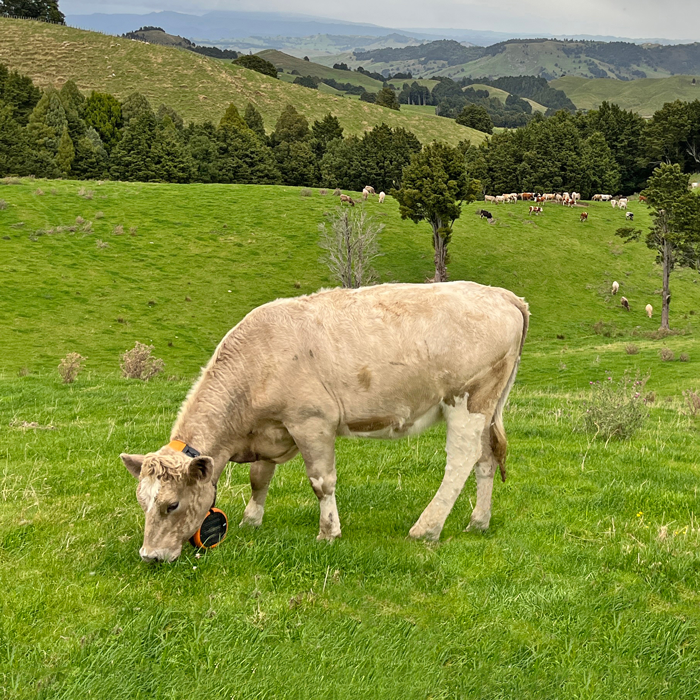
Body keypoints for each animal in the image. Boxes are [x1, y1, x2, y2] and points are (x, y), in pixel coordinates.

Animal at [120, 282, 528, 560]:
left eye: (171, 505)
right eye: (142, 502)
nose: (149, 556)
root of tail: (501, 295)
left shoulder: (311, 422)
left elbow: (321, 482)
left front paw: (328, 532)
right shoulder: (272, 430)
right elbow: (259, 478)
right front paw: (251, 520)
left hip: (467, 399)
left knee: (460, 461)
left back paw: (426, 529)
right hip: (488, 405)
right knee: (486, 459)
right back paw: (479, 521)